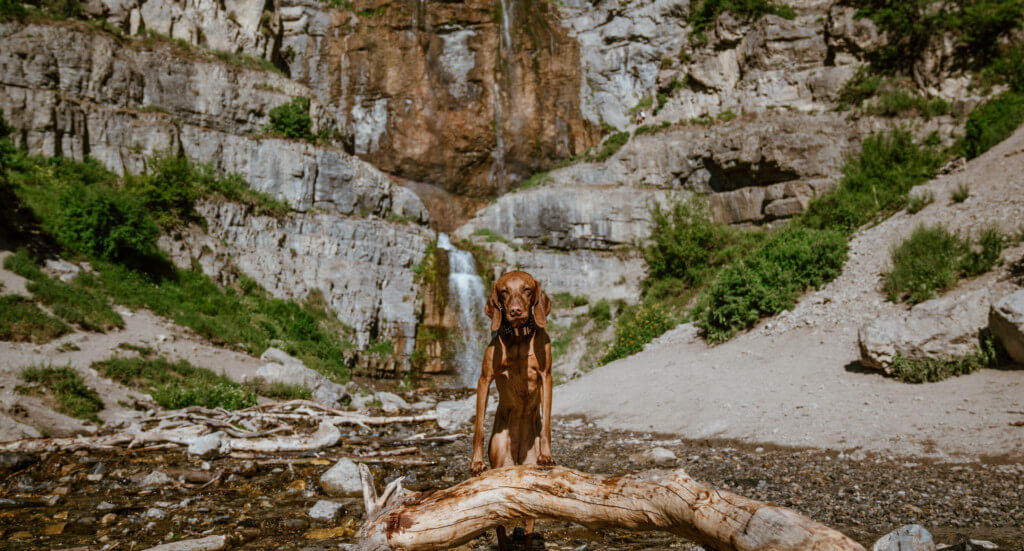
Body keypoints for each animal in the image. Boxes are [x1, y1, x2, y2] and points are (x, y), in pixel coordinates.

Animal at [468, 270, 552, 548]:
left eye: (527, 289)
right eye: (504, 291)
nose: (515, 311)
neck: (518, 338)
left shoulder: (547, 377)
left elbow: (547, 424)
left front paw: (548, 455)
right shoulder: (484, 379)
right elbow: (478, 427)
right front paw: (476, 462)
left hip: (528, 474)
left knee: (528, 524)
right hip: (500, 465)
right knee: (499, 521)